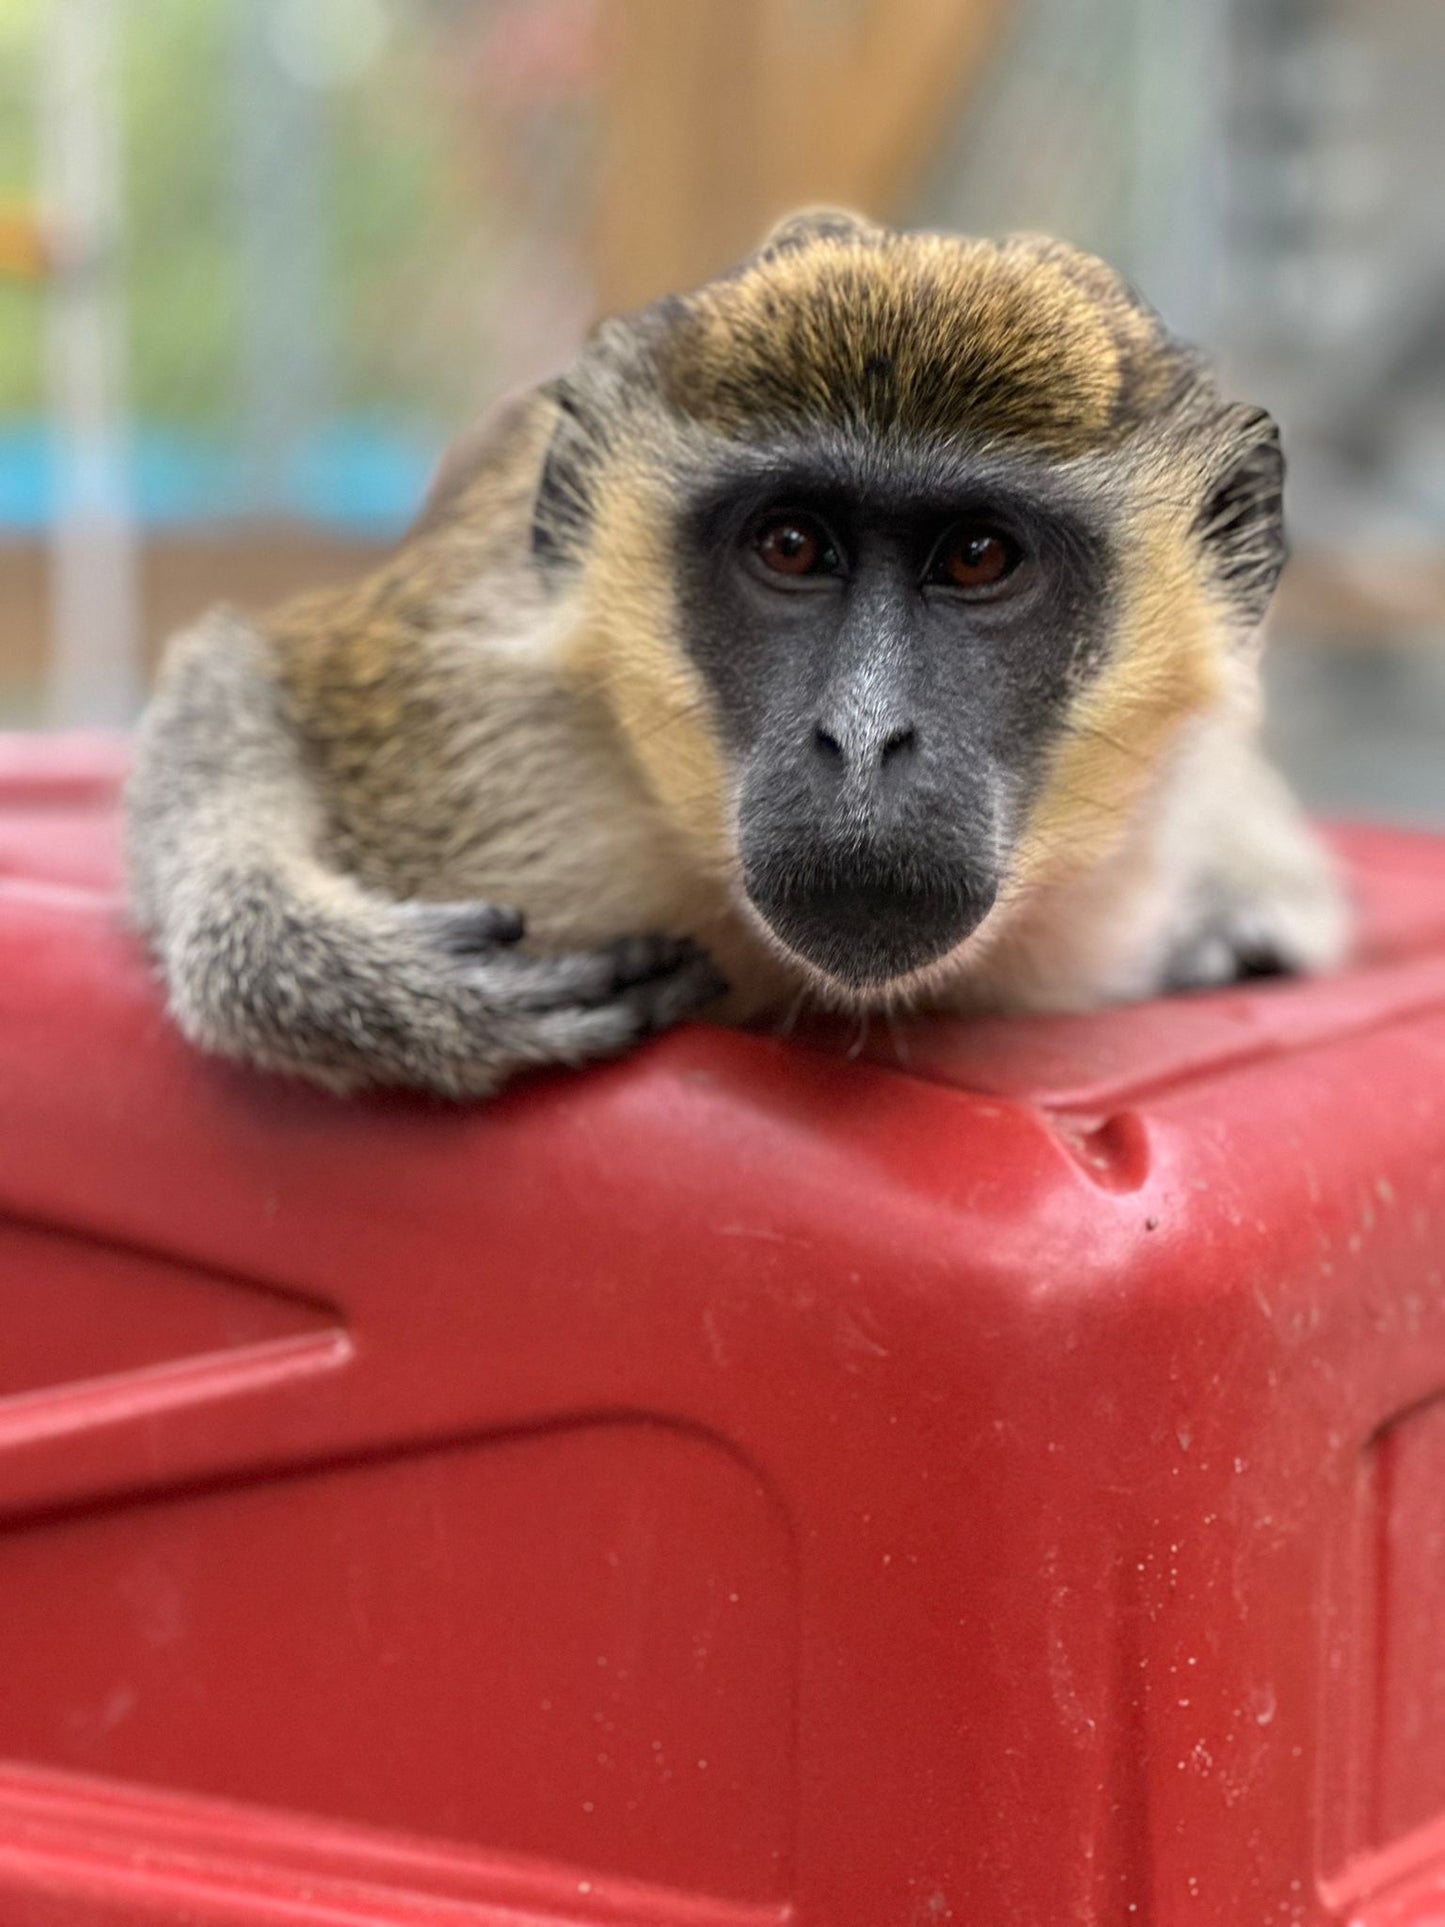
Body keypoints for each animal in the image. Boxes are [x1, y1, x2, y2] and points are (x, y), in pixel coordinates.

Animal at [124, 210, 1348, 1100]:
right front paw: (321, 969)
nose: (863, 736)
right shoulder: (472, 702)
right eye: (791, 545)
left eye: (978, 558)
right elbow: (251, 668)